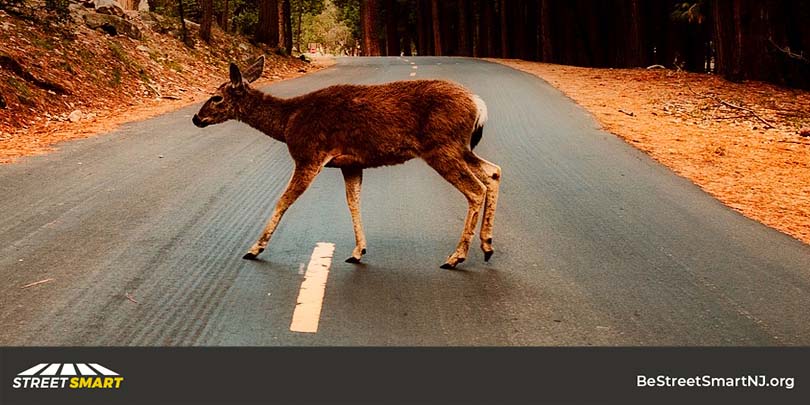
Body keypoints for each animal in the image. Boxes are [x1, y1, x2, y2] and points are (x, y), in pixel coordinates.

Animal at [192, 56, 501, 269]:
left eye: (216, 97)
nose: (196, 118)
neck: (288, 121)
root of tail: (478, 104)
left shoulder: (310, 155)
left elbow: (284, 200)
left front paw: (255, 248)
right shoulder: (350, 163)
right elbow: (353, 201)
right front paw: (358, 251)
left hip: (442, 147)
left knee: (475, 189)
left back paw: (456, 257)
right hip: (459, 147)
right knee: (493, 172)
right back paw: (486, 247)